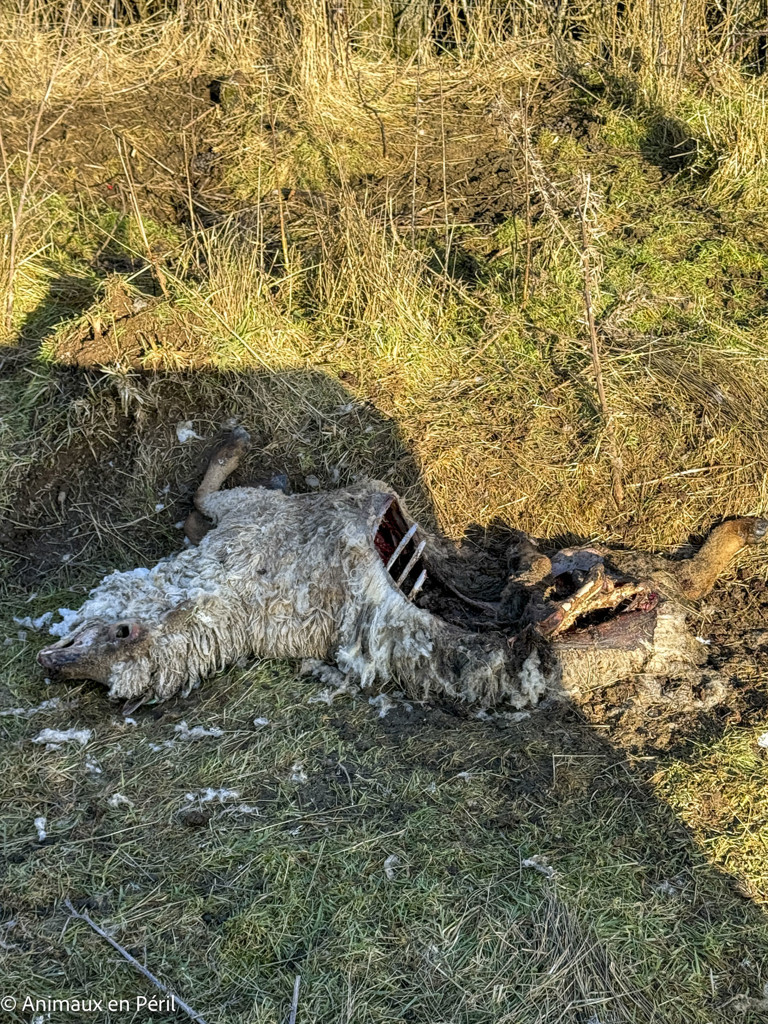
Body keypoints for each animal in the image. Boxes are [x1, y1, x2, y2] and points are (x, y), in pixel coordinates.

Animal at [37, 428, 767, 713]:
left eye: (91, 636)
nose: (49, 661)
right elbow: (200, 502)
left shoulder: (247, 513)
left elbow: (205, 494)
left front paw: (232, 448)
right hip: (617, 602)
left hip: (611, 572)